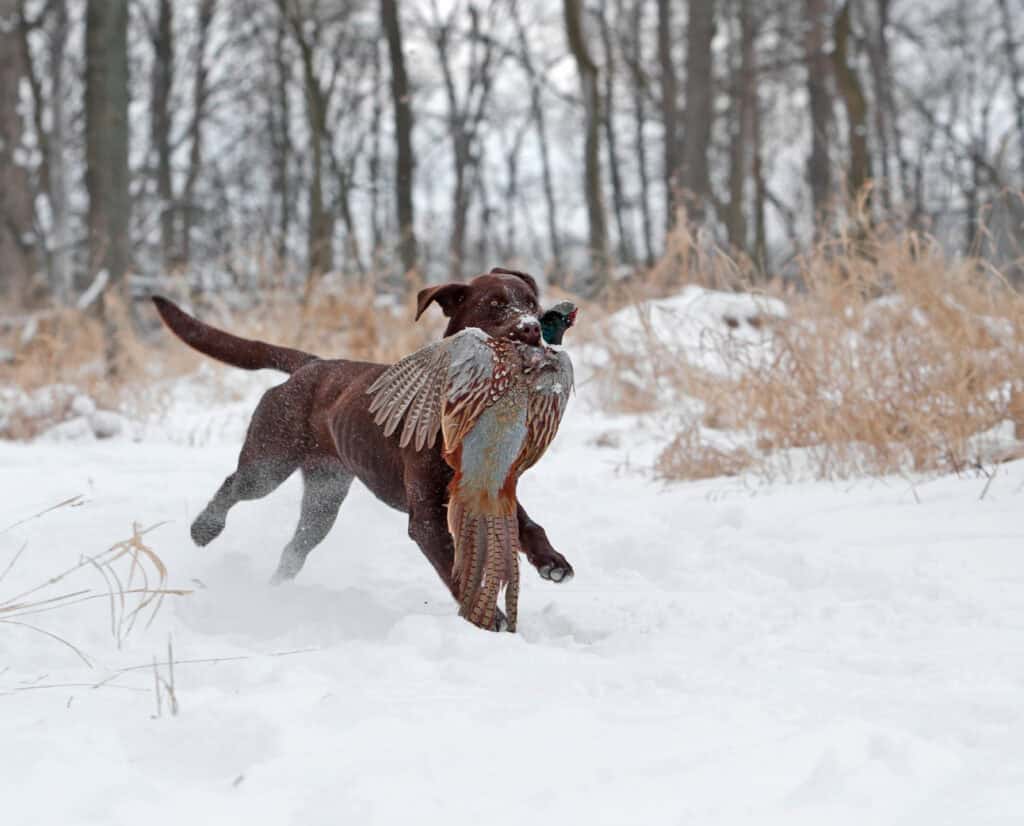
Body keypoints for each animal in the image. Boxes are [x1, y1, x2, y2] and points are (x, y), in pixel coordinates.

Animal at [149, 268, 577, 630]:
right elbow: (453, 566)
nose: (532, 328)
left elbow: (529, 526)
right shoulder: (426, 519)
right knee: (234, 485)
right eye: (495, 304)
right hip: (269, 461)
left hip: (324, 497)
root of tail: (312, 365)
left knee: (294, 549)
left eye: (532, 303)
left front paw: (551, 561)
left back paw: (273, 595)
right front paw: (491, 620)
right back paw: (204, 529)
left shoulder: (487, 489)